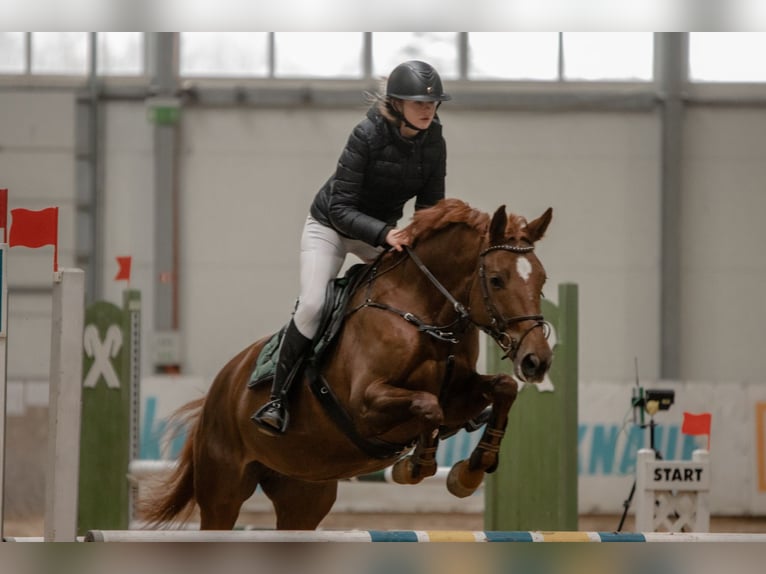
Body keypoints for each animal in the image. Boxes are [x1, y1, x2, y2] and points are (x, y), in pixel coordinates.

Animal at [142, 198, 552, 532]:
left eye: (542, 280)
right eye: (496, 280)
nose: (537, 361)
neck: (423, 313)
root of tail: (220, 386)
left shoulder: (459, 397)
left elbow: (503, 388)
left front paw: (471, 469)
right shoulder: (366, 406)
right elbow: (427, 405)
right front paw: (415, 466)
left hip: (304, 493)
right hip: (223, 489)